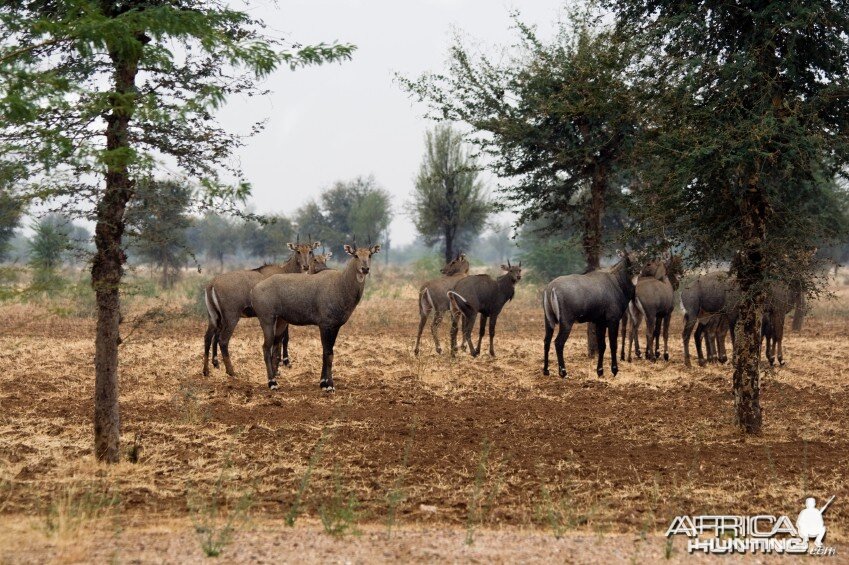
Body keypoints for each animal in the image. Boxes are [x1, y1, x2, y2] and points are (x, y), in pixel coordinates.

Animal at [203, 238, 322, 374]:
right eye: (298, 251)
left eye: (310, 251)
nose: (305, 266)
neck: (286, 271)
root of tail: (212, 283)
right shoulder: (280, 317)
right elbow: (281, 339)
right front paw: (281, 365)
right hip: (231, 317)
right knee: (222, 340)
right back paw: (231, 372)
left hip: (214, 317)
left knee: (208, 337)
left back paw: (207, 370)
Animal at [245, 240, 378, 390]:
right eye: (355, 255)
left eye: (370, 255)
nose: (365, 269)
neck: (340, 284)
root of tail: (254, 289)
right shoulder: (325, 325)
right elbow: (329, 353)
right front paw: (329, 385)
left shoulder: (335, 326)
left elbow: (326, 353)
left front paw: (323, 382)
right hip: (267, 320)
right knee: (266, 348)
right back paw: (272, 383)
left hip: (280, 322)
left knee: (274, 347)